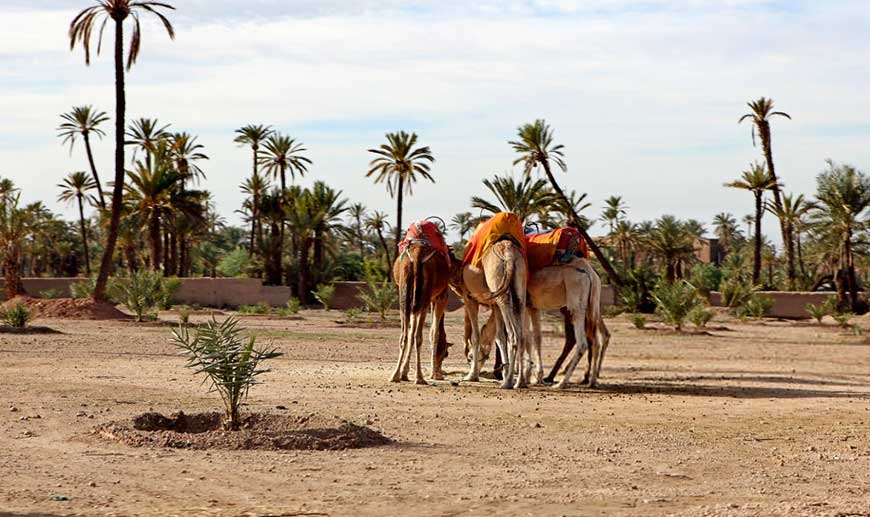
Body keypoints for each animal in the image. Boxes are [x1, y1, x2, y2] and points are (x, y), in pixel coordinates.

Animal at [392, 221, 454, 382]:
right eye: (445, 353)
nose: (441, 368)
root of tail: (417, 255)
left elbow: (412, 329)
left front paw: (405, 372)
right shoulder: (441, 297)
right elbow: (434, 333)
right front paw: (435, 374)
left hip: (405, 293)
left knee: (405, 335)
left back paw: (395, 375)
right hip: (424, 297)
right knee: (418, 336)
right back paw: (419, 377)